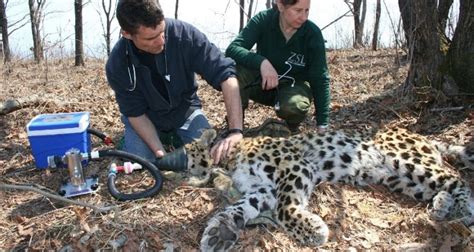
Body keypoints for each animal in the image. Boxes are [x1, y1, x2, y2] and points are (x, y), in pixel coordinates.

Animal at [182, 127, 474, 251]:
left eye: (183, 152)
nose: (181, 172)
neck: (229, 161)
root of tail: (424, 137)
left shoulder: (295, 165)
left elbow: (286, 208)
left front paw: (313, 231)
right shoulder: (262, 189)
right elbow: (241, 206)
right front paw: (220, 231)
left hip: (404, 159)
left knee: (457, 179)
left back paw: (463, 210)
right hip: (399, 180)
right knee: (438, 185)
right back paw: (442, 206)